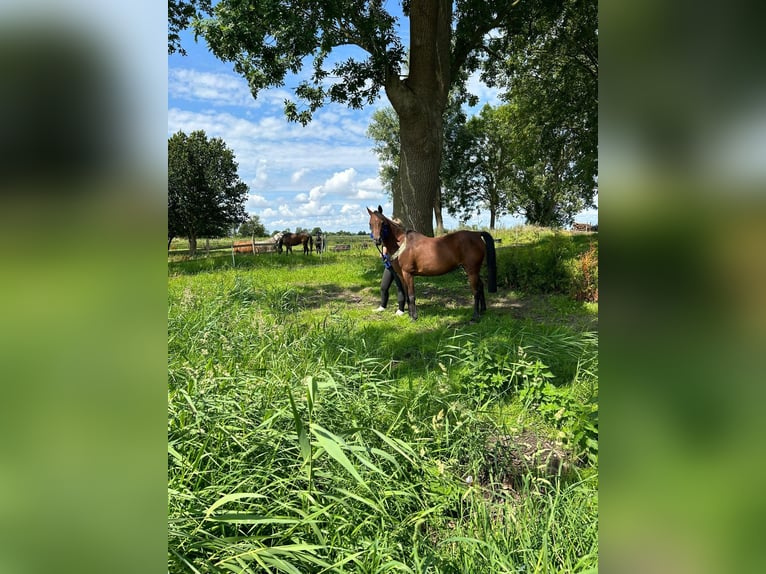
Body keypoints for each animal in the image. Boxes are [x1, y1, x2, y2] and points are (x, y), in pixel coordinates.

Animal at [366, 207, 498, 324]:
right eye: (370, 224)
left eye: (383, 223)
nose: (377, 240)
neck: (402, 244)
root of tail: (477, 234)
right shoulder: (401, 275)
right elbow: (407, 295)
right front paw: (410, 315)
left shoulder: (408, 274)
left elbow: (411, 295)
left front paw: (414, 317)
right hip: (474, 270)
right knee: (481, 287)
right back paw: (482, 310)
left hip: (471, 271)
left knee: (476, 292)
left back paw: (474, 317)